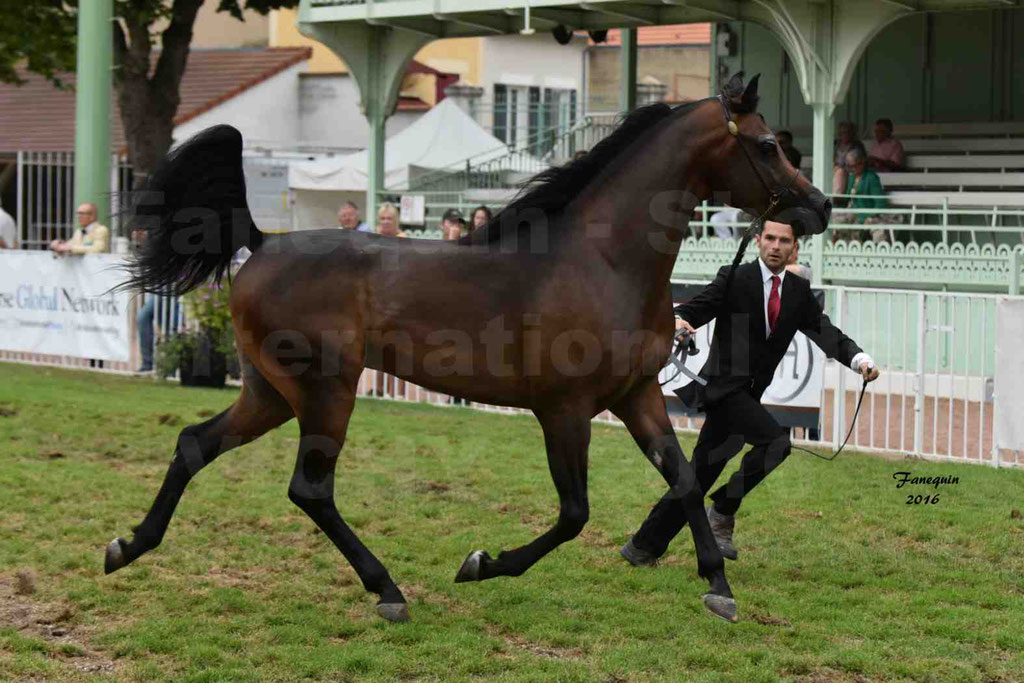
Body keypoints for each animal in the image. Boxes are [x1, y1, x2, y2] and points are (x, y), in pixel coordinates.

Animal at [110, 72, 831, 622]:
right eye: (769, 144)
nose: (820, 207)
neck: (602, 261)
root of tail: (259, 242)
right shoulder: (564, 409)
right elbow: (574, 512)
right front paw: (481, 564)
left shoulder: (636, 397)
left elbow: (681, 477)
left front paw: (718, 585)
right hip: (325, 391)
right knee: (309, 488)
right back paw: (388, 591)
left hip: (271, 392)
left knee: (196, 444)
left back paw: (128, 545)